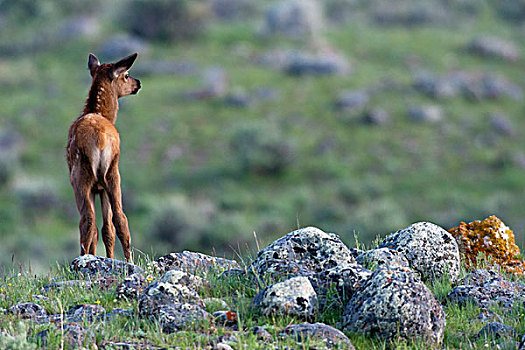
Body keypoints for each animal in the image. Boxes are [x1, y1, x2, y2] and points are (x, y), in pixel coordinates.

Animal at [67, 52, 141, 262]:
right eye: (126, 75)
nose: (138, 83)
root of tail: (99, 138)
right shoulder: (100, 188)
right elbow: (107, 229)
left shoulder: (96, 188)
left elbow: (101, 230)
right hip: (111, 174)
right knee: (119, 218)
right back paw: (127, 261)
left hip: (83, 177)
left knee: (88, 220)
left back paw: (84, 258)